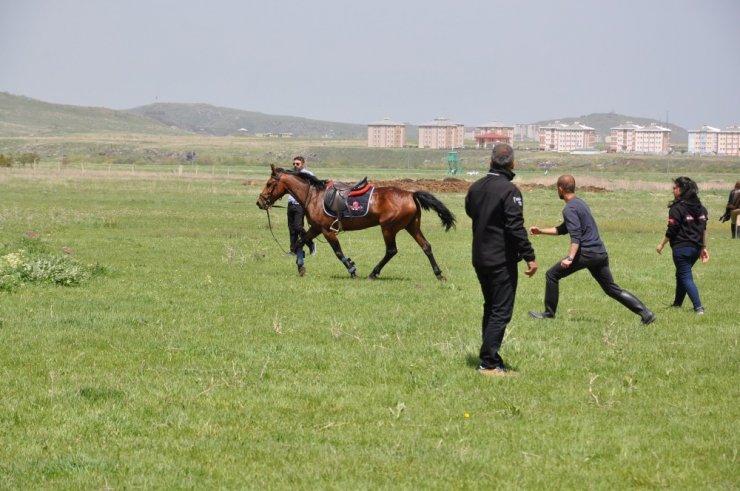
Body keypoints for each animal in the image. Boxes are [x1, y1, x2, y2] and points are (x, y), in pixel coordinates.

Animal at [258, 165, 456, 280]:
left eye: (268, 184)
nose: (259, 202)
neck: (313, 196)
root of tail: (411, 194)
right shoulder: (316, 228)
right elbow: (300, 242)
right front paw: (300, 266)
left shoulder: (327, 231)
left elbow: (338, 252)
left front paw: (351, 268)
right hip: (411, 226)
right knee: (426, 246)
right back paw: (438, 274)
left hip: (388, 228)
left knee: (391, 250)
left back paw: (373, 273)